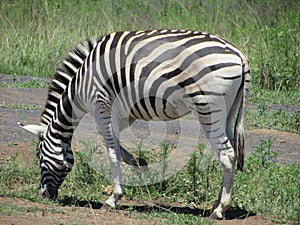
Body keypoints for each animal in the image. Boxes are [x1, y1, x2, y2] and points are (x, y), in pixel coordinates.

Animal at [17, 29, 250, 219]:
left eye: (38, 155)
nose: (44, 195)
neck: (80, 85)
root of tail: (239, 54)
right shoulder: (122, 114)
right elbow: (116, 146)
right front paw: (139, 163)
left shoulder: (102, 107)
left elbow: (111, 152)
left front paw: (114, 198)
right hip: (228, 112)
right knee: (230, 151)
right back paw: (218, 204)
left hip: (208, 108)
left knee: (227, 155)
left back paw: (220, 209)